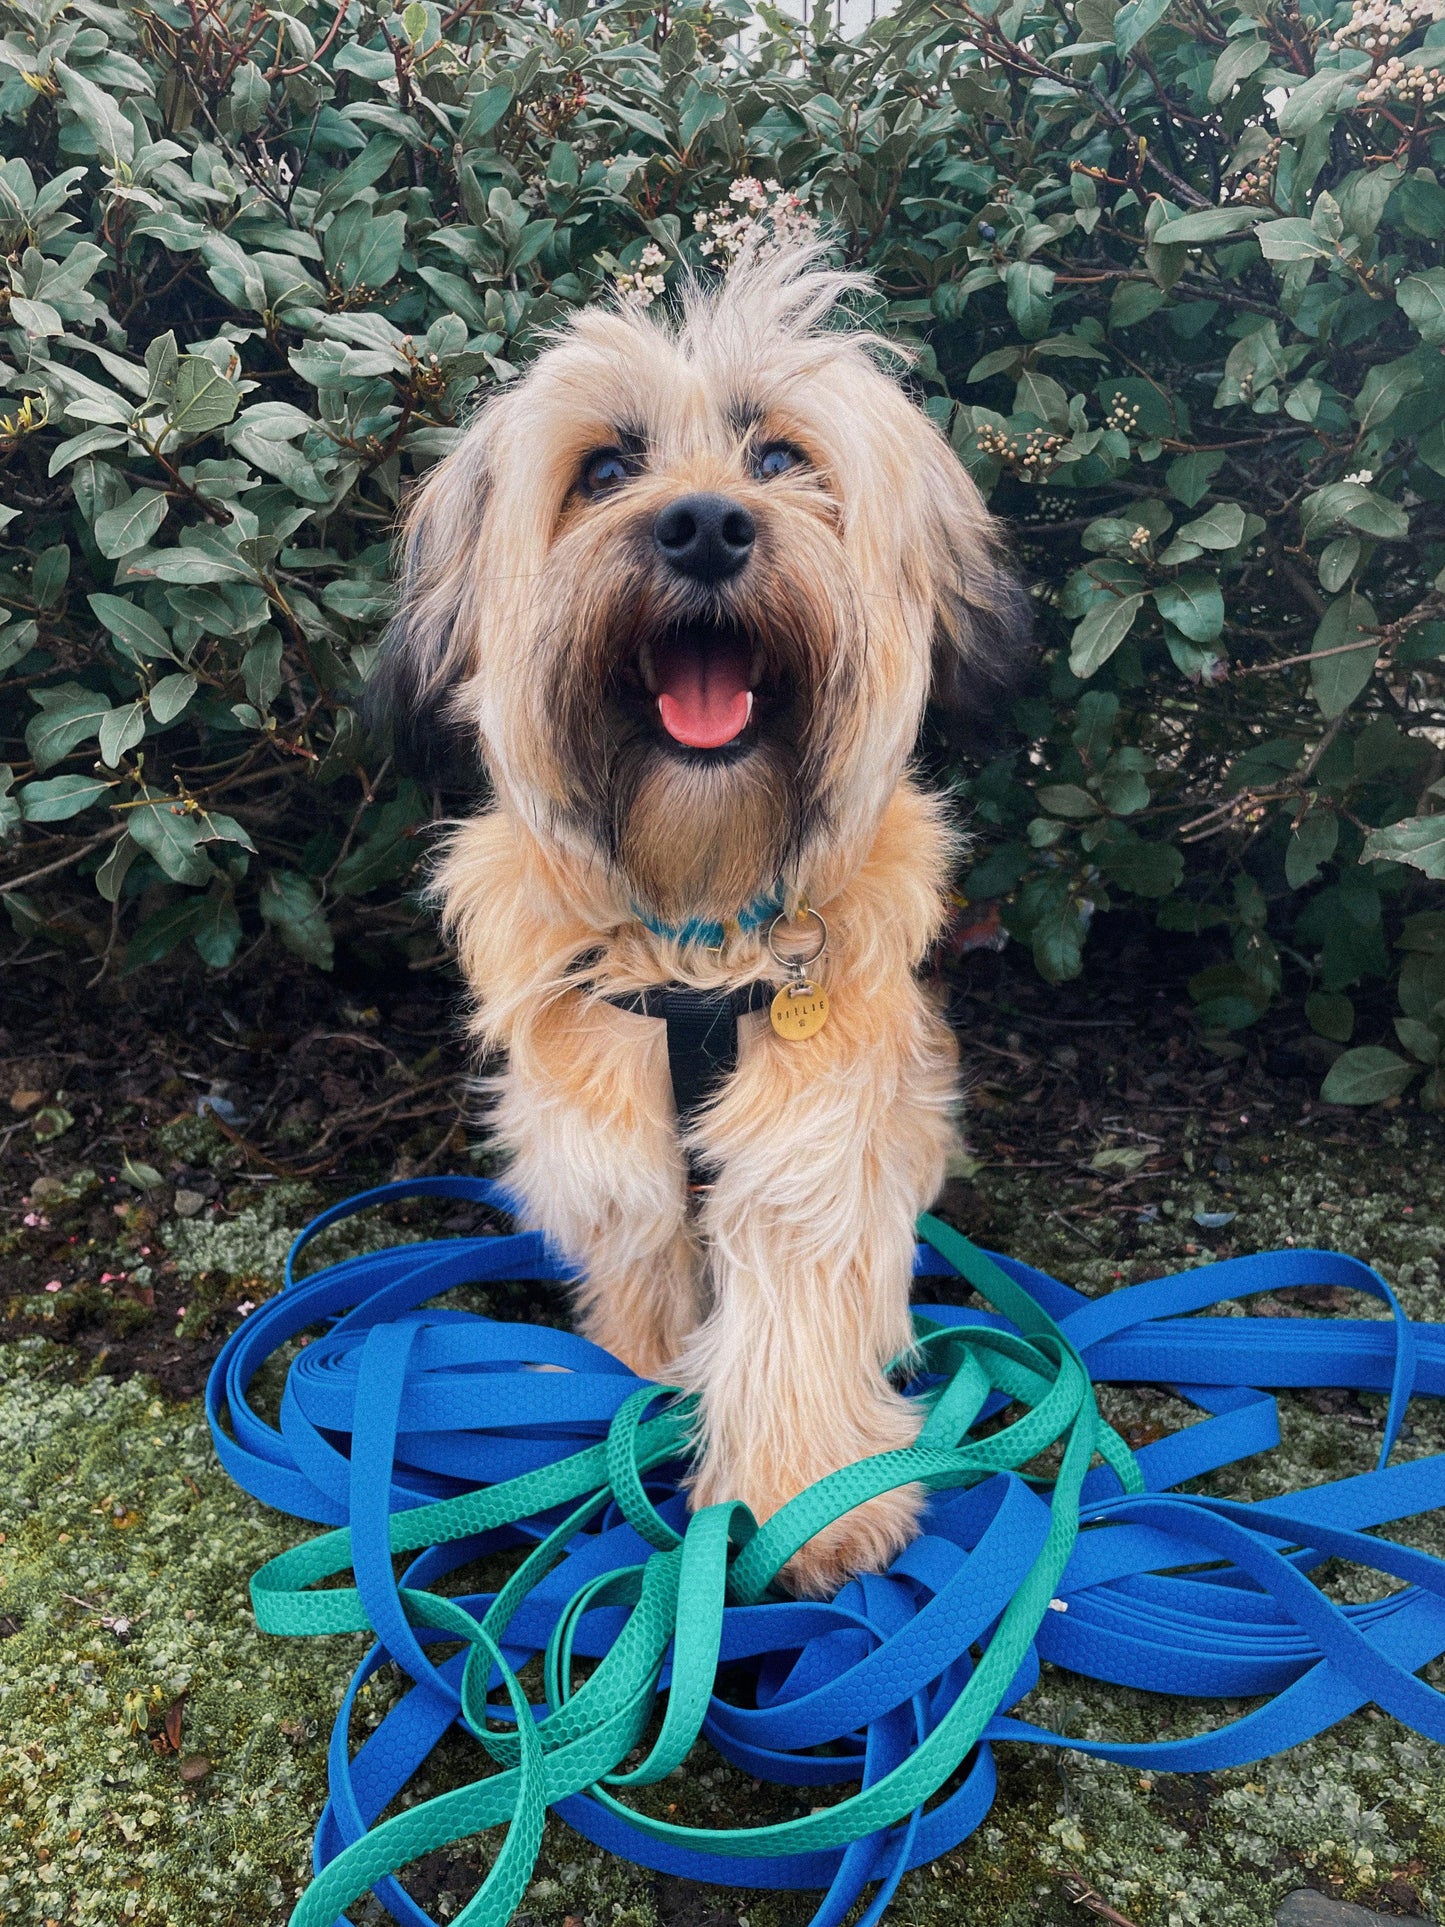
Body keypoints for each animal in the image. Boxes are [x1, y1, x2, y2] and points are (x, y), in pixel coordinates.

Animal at [374, 246, 1031, 1595]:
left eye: (777, 457)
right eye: (604, 470)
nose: (705, 525)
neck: (696, 930)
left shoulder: (815, 1131)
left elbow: (792, 1306)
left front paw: (809, 1505)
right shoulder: (604, 1141)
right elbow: (641, 1286)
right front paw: (615, 1409)